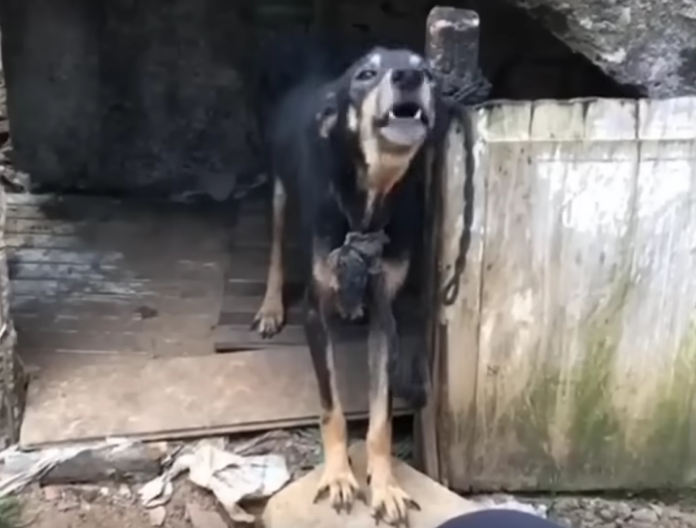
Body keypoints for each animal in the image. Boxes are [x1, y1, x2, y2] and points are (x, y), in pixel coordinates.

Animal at [254, 43, 440, 524]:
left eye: (428, 71)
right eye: (366, 74)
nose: (409, 78)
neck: (368, 200)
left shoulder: (386, 318)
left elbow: (380, 419)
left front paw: (385, 485)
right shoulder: (314, 315)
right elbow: (332, 409)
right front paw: (338, 477)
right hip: (280, 194)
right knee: (276, 248)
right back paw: (269, 307)